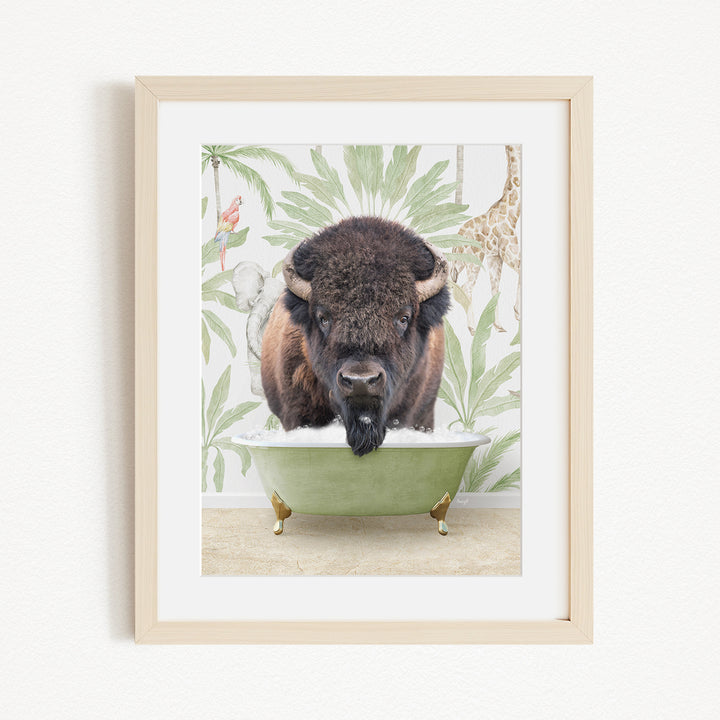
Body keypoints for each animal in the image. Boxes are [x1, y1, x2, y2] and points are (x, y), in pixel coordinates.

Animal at [450, 145, 521, 332]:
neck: (512, 212)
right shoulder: (510, 253)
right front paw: (517, 313)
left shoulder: (494, 257)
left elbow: (495, 290)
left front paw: (499, 325)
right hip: (474, 260)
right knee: (467, 288)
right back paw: (472, 328)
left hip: (462, 263)